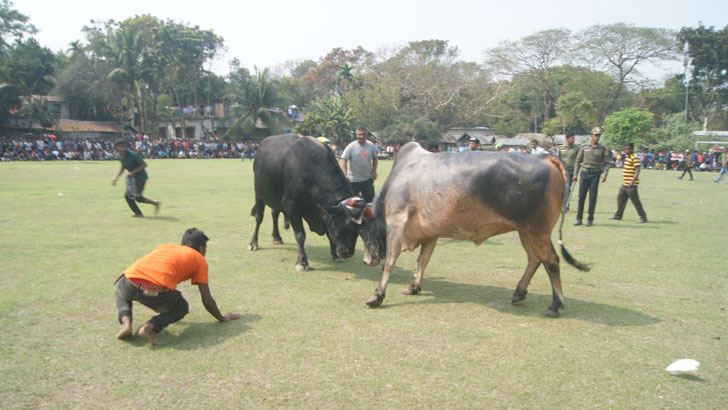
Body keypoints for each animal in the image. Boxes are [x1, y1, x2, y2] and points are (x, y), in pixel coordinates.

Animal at [250, 135, 366, 272]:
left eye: (359, 228)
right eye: (347, 225)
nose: (348, 252)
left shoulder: (322, 212)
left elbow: (329, 233)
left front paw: (335, 255)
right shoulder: (291, 205)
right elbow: (300, 235)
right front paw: (302, 261)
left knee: (274, 213)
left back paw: (277, 237)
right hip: (259, 194)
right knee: (259, 218)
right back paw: (253, 243)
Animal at [360, 142, 592, 318]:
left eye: (363, 231)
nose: (366, 260)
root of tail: (546, 157)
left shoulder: (397, 222)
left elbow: (391, 261)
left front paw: (377, 295)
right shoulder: (431, 232)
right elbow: (422, 260)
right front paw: (414, 286)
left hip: (537, 231)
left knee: (551, 260)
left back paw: (555, 305)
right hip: (526, 231)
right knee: (535, 259)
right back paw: (519, 292)